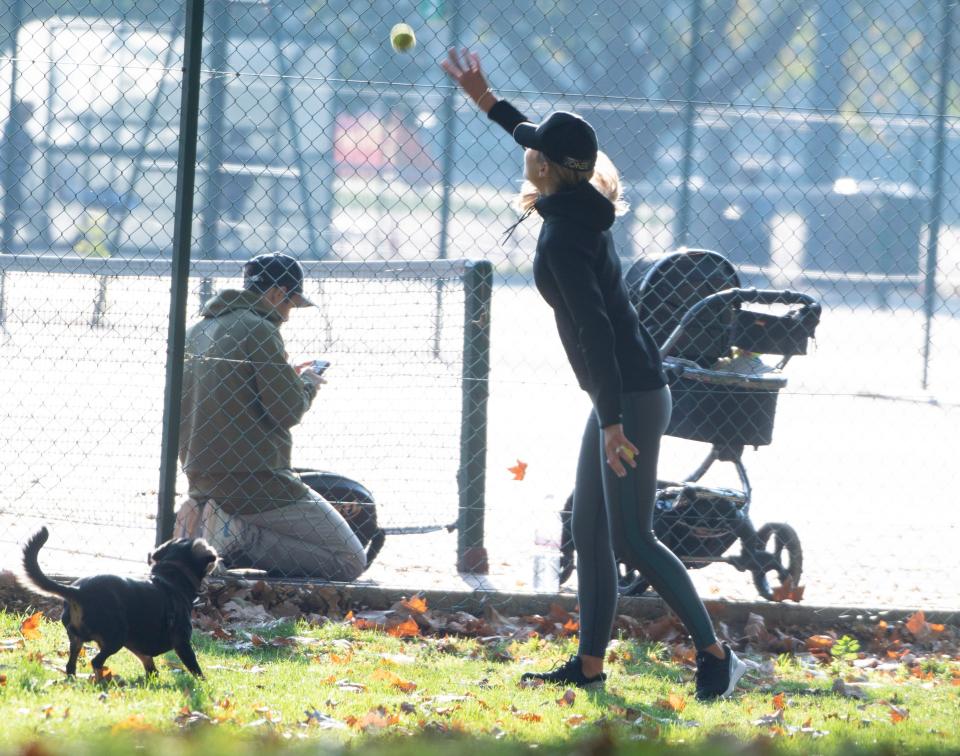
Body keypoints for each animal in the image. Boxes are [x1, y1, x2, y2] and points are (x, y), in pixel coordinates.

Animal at [20, 524, 218, 680]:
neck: (171, 576)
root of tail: (78, 591)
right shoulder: (182, 643)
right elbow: (195, 668)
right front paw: (203, 684)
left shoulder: (138, 646)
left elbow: (149, 664)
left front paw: (152, 679)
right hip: (116, 638)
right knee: (96, 662)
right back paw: (102, 681)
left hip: (77, 640)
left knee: (71, 665)